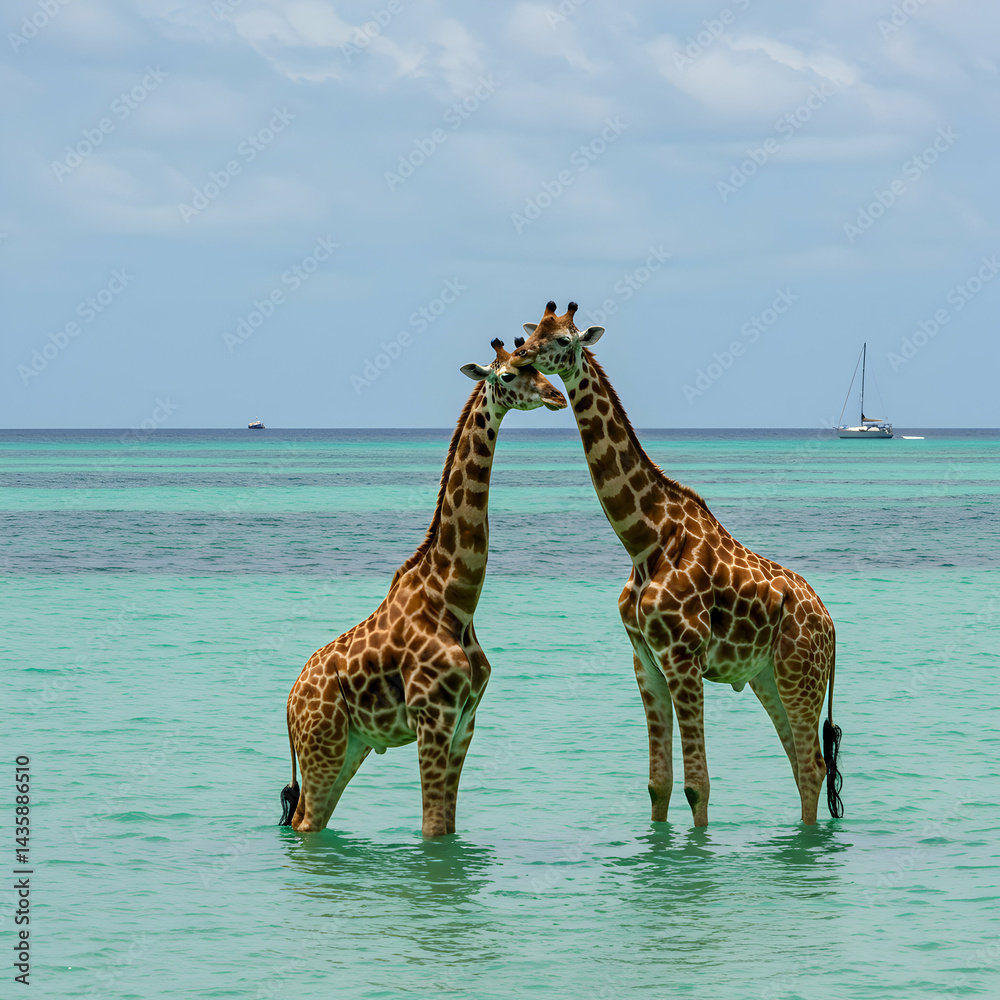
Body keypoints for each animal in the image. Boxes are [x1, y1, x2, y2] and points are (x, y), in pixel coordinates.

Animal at [280, 340, 567, 837]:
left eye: (538, 365)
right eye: (508, 374)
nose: (556, 396)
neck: (456, 601)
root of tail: (288, 706)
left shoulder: (466, 721)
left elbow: (446, 826)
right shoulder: (433, 718)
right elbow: (431, 828)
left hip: (350, 747)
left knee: (307, 818)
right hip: (323, 745)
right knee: (306, 820)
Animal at [511, 302, 843, 827]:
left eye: (564, 339)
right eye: (533, 330)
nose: (522, 355)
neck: (644, 540)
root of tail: (831, 625)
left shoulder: (683, 658)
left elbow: (697, 787)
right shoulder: (645, 661)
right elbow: (658, 785)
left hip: (799, 672)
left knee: (812, 766)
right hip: (768, 677)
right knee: (800, 764)